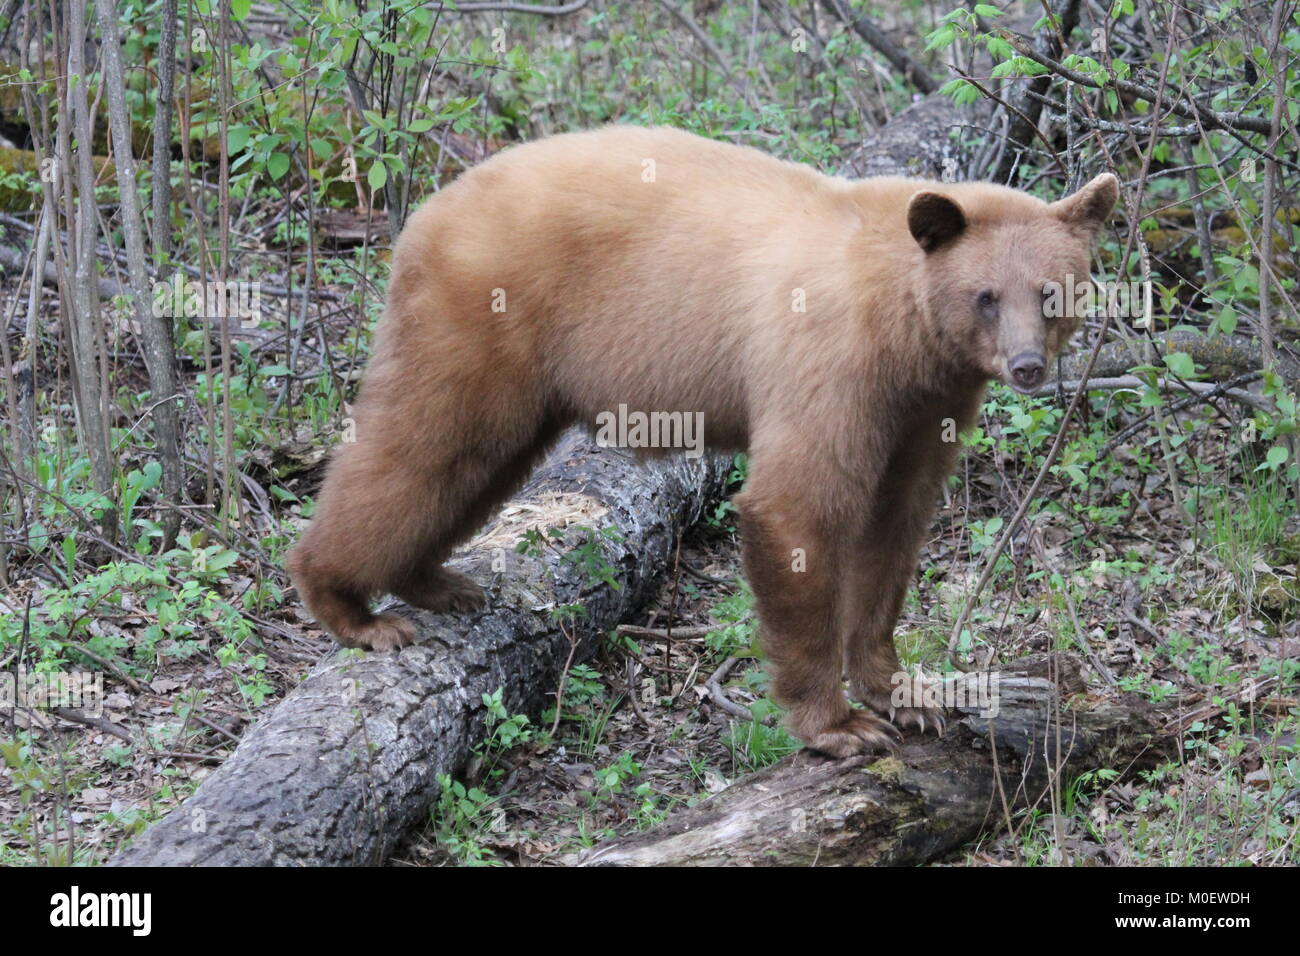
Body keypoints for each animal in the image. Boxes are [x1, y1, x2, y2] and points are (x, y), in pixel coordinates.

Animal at [287, 125, 1118, 754]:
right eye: (986, 296)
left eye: (1052, 290)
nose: (1027, 365)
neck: (903, 324)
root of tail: (427, 212)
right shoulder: (830, 366)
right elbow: (798, 509)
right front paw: (838, 725)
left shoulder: (926, 404)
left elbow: (894, 524)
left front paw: (904, 692)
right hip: (478, 320)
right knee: (421, 444)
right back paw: (350, 607)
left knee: (469, 470)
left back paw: (434, 580)